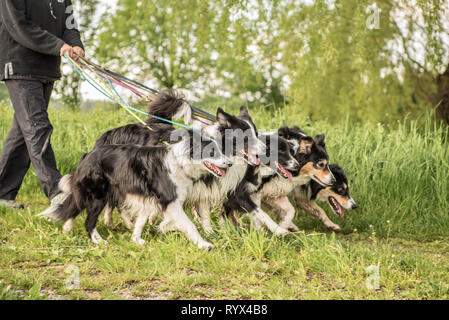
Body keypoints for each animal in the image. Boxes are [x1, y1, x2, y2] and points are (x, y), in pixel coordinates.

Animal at [39, 130, 231, 250]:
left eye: (221, 150)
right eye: (212, 152)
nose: (229, 163)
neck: (181, 162)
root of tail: (87, 155)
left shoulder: (149, 197)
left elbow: (143, 220)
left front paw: (138, 238)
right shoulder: (169, 200)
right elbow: (188, 224)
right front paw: (203, 244)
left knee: (75, 206)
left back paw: (67, 228)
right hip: (98, 196)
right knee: (89, 221)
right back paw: (99, 242)